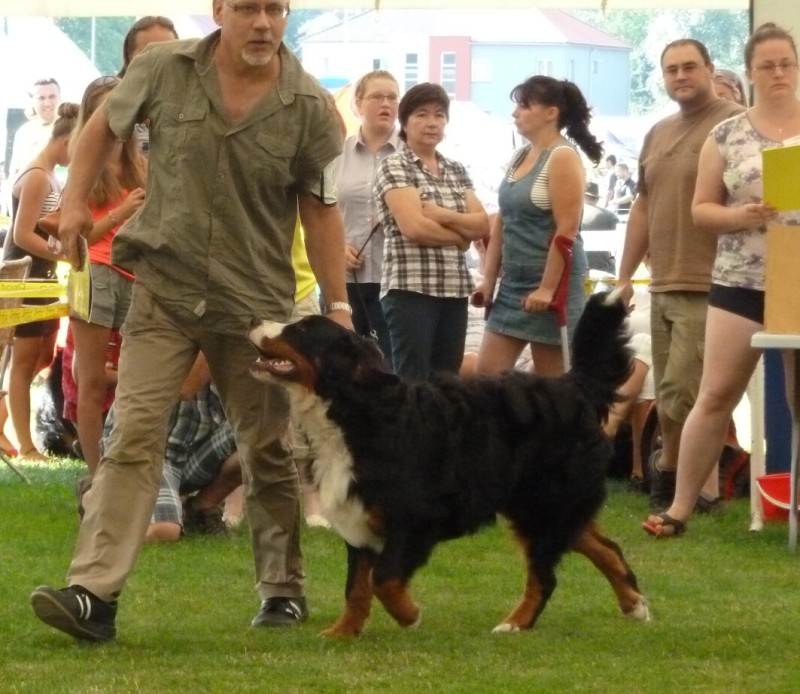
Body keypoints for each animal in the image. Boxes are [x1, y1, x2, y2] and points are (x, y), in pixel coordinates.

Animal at [248, 290, 648, 640]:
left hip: (543, 507)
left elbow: (383, 579)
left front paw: (409, 615)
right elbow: (356, 588)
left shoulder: (415, 520)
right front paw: (343, 632)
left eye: (299, 330)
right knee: (607, 548)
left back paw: (514, 623)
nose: (252, 319)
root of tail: (572, 386)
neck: (355, 414)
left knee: (546, 577)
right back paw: (634, 605)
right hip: (544, 507)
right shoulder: (359, 520)